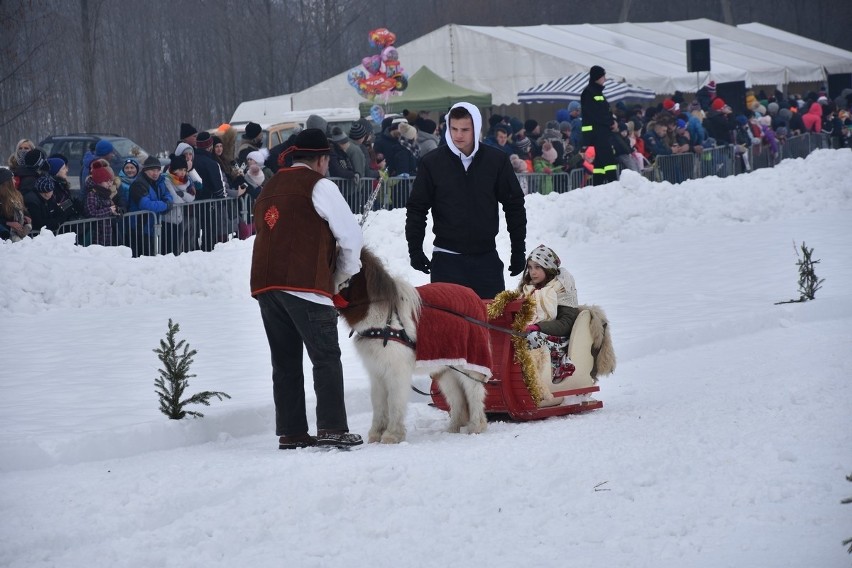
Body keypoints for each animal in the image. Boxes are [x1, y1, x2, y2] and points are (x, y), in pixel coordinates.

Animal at [336, 248, 490, 444]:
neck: (384, 320)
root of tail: (474, 296)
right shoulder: (377, 372)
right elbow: (378, 403)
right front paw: (376, 434)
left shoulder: (397, 371)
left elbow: (394, 401)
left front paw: (392, 435)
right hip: (445, 368)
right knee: (457, 397)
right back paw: (454, 428)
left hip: (470, 364)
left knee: (474, 392)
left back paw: (476, 426)